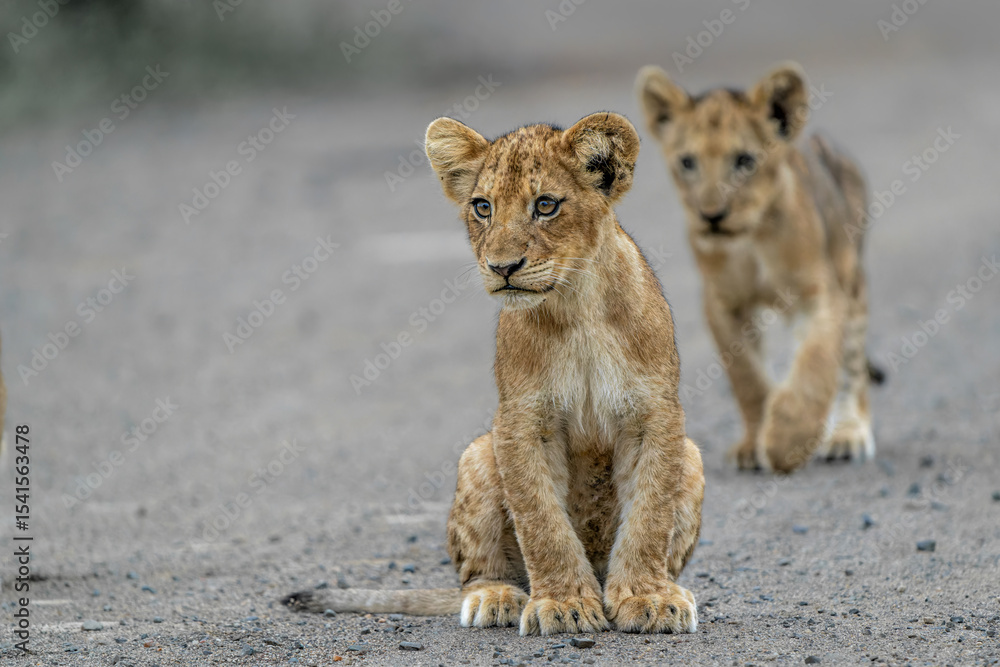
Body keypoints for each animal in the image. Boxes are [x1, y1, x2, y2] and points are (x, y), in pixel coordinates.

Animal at [284, 112, 705, 636]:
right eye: (482, 207)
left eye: (545, 205)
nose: (503, 267)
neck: (576, 307)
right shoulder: (520, 420)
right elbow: (541, 521)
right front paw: (564, 602)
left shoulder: (655, 414)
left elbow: (649, 514)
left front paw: (648, 597)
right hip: (478, 455)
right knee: (479, 572)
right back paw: (496, 597)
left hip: (692, 457)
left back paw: (666, 588)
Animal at [636, 62, 883, 473]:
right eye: (687, 162)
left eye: (744, 161)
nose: (712, 216)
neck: (750, 241)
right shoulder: (723, 304)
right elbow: (747, 378)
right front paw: (754, 444)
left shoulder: (820, 294)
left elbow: (816, 364)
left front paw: (788, 439)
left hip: (852, 281)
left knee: (851, 368)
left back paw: (847, 434)